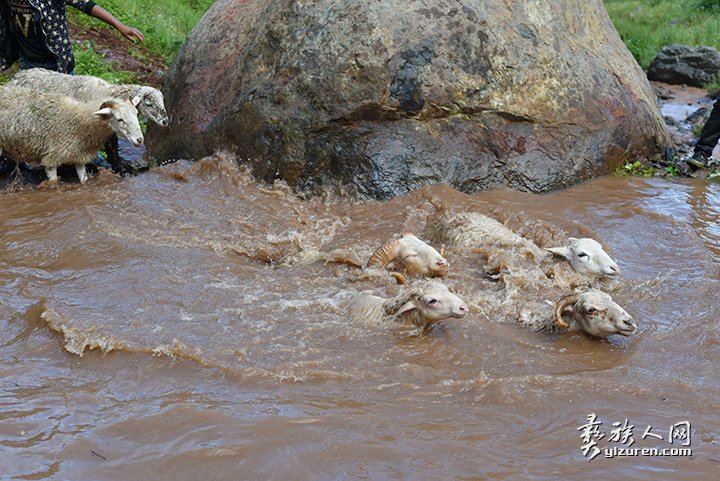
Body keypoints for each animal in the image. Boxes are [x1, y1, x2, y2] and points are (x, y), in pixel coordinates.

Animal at [0, 85, 145, 183]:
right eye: (120, 119)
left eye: (136, 114)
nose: (139, 140)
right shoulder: (52, 159)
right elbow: (54, 183)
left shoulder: (79, 156)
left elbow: (84, 179)